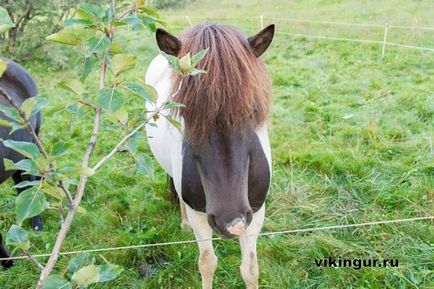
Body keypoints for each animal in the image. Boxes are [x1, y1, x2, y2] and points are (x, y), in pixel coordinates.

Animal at [146, 23, 274, 288]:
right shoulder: (200, 215)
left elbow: (250, 269)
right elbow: (207, 263)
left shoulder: (256, 214)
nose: (231, 222)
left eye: (253, 109)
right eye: (184, 111)